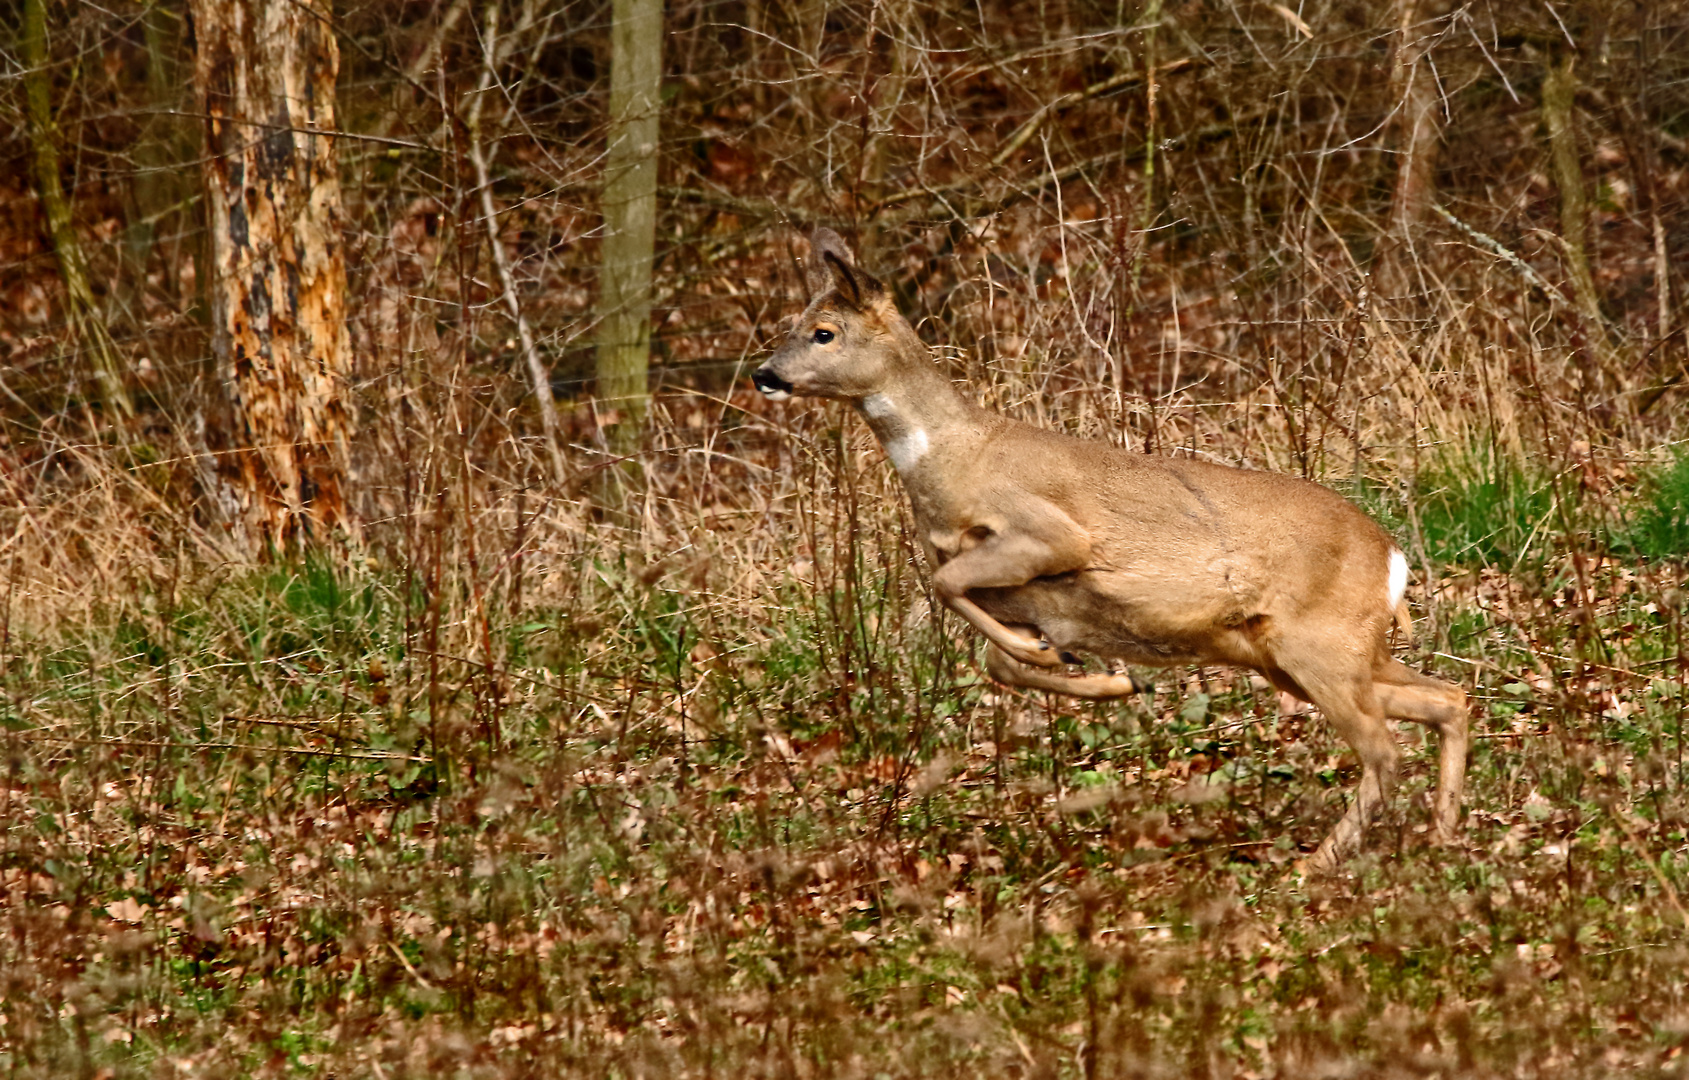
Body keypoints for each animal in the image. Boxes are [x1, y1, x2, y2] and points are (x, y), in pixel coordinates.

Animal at [753, 228, 1466, 872]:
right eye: (793, 324)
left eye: (823, 331)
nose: (765, 374)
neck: (954, 465)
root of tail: (1392, 558)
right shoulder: (1027, 599)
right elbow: (993, 655)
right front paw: (1102, 677)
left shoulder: (1050, 533)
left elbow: (950, 588)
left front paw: (1065, 661)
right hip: (1304, 654)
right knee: (1448, 699)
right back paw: (1440, 834)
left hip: (1318, 644)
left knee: (1385, 747)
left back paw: (1319, 863)